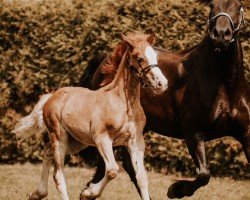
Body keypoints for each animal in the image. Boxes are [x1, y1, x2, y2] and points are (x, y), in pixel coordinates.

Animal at [81, 0, 249, 198]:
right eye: (212, 5)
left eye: (238, 6)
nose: (221, 34)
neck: (225, 84)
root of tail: (104, 62)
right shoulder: (193, 132)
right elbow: (203, 174)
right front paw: (175, 190)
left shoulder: (245, 133)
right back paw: (89, 192)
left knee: (126, 166)